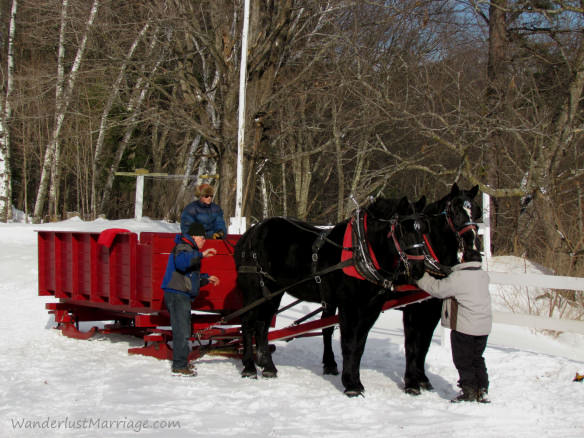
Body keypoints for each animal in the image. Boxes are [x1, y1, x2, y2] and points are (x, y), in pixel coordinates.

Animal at [234, 197, 428, 396]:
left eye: (423, 229)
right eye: (402, 230)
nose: (418, 269)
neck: (360, 249)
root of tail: (252, 232)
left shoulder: (371, 308)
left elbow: (359, 345)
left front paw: (355, 381)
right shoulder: (348, 306)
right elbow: (349, 343)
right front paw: (351, 384)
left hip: (273, 292)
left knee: (262, 325)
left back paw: (268, 367)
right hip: (254, 290)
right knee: (247, 323)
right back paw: (249, 367)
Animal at [400, 183, 482, 396]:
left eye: (476, 211)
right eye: (455, 211)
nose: (471, 243)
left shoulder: (432, 308)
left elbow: (424, 344)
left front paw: (422, 379)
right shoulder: (412, 309)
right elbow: (411, 344)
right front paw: (411, 382)